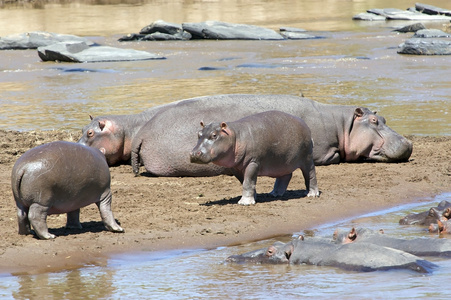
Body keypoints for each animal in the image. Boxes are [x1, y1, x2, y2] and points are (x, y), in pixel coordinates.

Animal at [189, 111, 320, 205]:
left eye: (214, 135)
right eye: (198, 134)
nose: (194, 153)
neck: (235, 135)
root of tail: (306, 125)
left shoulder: (253, 162)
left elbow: (248, 181)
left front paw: (245, 202)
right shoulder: (235, 167)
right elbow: (245, 181)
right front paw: (254, 197)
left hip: (307, 158)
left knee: (310, 174)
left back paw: (312, 194)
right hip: (282, 161)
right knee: (286, 176)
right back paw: (274, 194)